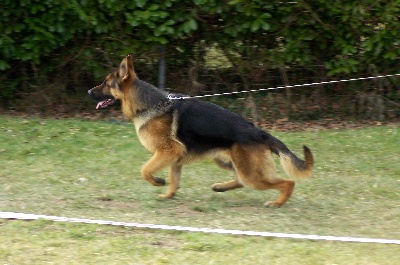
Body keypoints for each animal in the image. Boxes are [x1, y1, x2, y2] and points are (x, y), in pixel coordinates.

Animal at [89, 54, 314, 206]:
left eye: (105, 83)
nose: (89, 91)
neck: (147, 105)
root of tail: (259, 132)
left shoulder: (167, 152)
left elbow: (145, 170)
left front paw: (158, 182)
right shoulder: (174, 157)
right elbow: (174, 179)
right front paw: (168, 194)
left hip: (251, 173)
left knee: (287, 183)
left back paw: (277, 202)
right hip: (229, 162)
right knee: (241, 181)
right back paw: (220, 187)